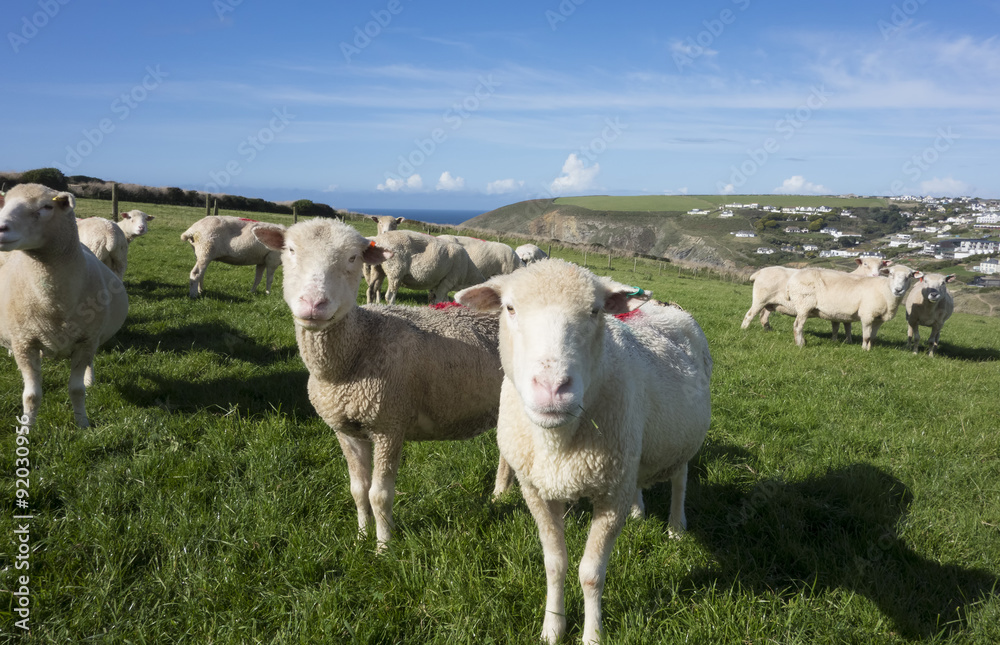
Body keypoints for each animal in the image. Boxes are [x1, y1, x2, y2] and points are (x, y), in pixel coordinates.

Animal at [0, 184, 129, 427]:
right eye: (4, 204)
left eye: (47, 206)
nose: (0, 227)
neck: (53, 304)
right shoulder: (25, 343)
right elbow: (31, 396)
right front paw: (26, 428)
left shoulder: (86, 341)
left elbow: (77, 390)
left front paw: (83, 424)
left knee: (89, 364)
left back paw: (89, 379)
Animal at [252, 218, 512, 549]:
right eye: (290, 250)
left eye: (353, 258)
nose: (313, 304)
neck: (358, 348)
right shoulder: (347, 431)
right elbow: (358, 490)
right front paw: (362, 536)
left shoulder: (389, 425)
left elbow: (379, 494)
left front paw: (384, 546)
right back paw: (500, 495)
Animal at [455, 259, 712, 645]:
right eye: (510, 308)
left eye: (595, 311)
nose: (552, 388)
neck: (556, 444)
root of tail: (664, 306)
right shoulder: (538, 490)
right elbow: (554, 564)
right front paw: (552, 627)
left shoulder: (610, 495)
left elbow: (590, 574)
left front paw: (592, 634)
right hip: (632, 449)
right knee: (640, 477)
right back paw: (638, 511)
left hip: (680, 438)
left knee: (680, 477)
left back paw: (676, 527)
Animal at [741, 257, 890, 342]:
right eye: (865, 264)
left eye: (881, 266)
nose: (875, 275)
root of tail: (759, 272)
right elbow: (842, 326)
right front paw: (842, 341)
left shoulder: (842, 311)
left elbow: (844, 326)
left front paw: (845, 341)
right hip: (760, 299)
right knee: (749, 315)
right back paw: (744, 330)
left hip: (770, 303)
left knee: (763, 317)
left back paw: (768, 330)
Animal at [786, 264, 920, 350]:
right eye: (891, 274)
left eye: (909, 276)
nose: (898, 290)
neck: (885, 290)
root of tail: (793, 277)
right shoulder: (867, 314)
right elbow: (866, 336)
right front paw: (864, 349)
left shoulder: (879, 319)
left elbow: (872, 337)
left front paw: (870, 349)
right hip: (804, 304)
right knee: (797, 326)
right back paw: (800, 344)